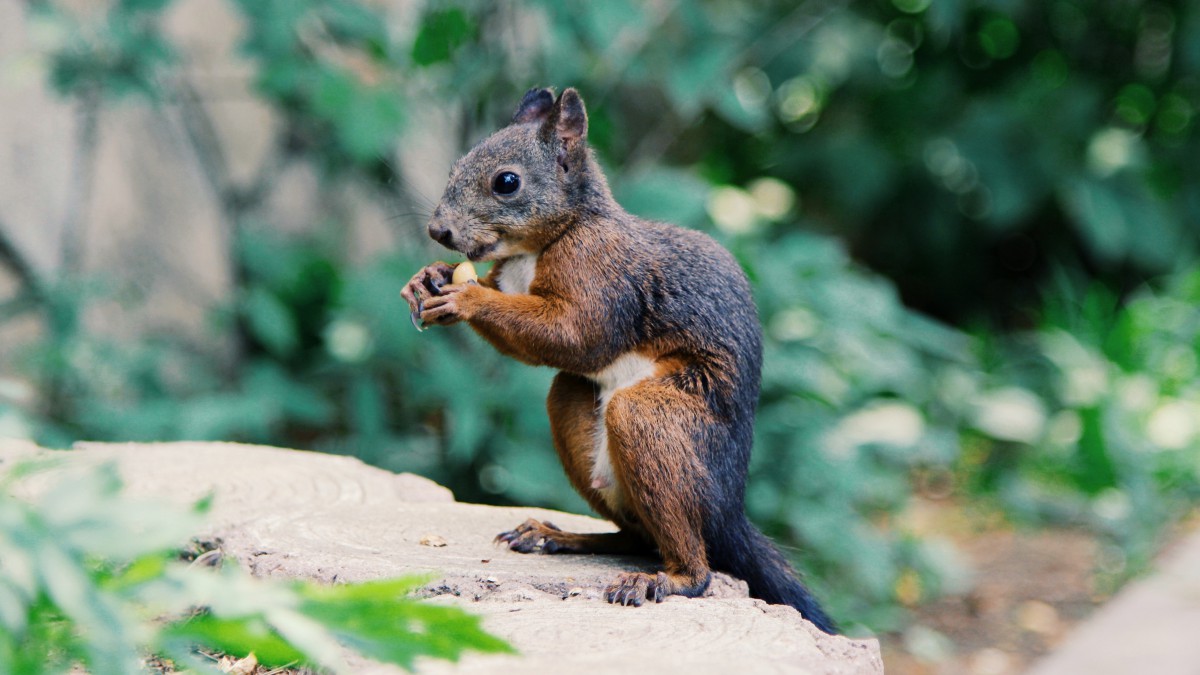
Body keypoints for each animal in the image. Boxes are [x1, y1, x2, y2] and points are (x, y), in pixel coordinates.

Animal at [400, 85, 835, 629]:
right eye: (456, 164)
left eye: (507, 182)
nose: (439, 232)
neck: (543, 244)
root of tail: (729, 511)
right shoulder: (509, 277)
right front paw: (427, 278)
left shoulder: (603, 273)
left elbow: (575, 335)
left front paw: (465, 298)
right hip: (575, 413)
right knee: (633, 535)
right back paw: (555, 536)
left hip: (658, 421)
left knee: (692, 563)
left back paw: (665, 579)